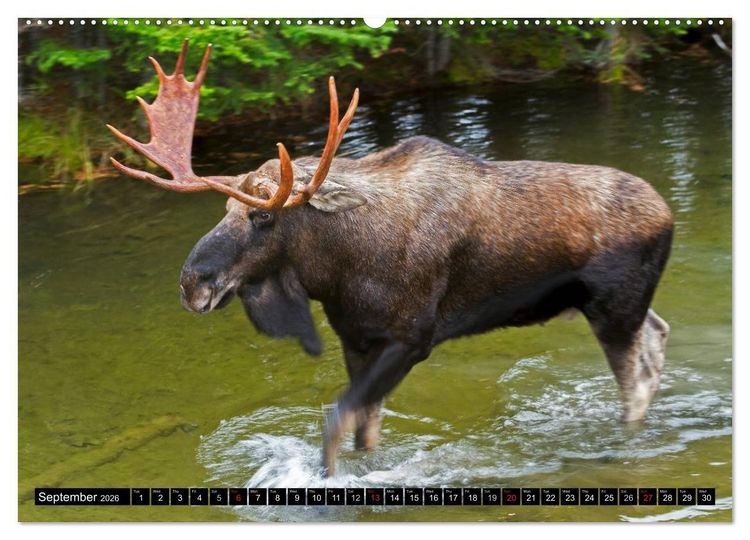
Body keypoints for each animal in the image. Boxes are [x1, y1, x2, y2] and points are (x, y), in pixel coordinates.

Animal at [107, 41, 674, 476]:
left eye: (262, 215)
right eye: (225, 207)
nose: (191, 282)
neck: (336, 273)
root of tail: (668, 216)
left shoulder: (411, 338)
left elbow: (335, 424)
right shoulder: (356, 340)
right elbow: (364, 433)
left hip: (613, 310)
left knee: (637, 385)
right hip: (613, 308)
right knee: (658, 338)